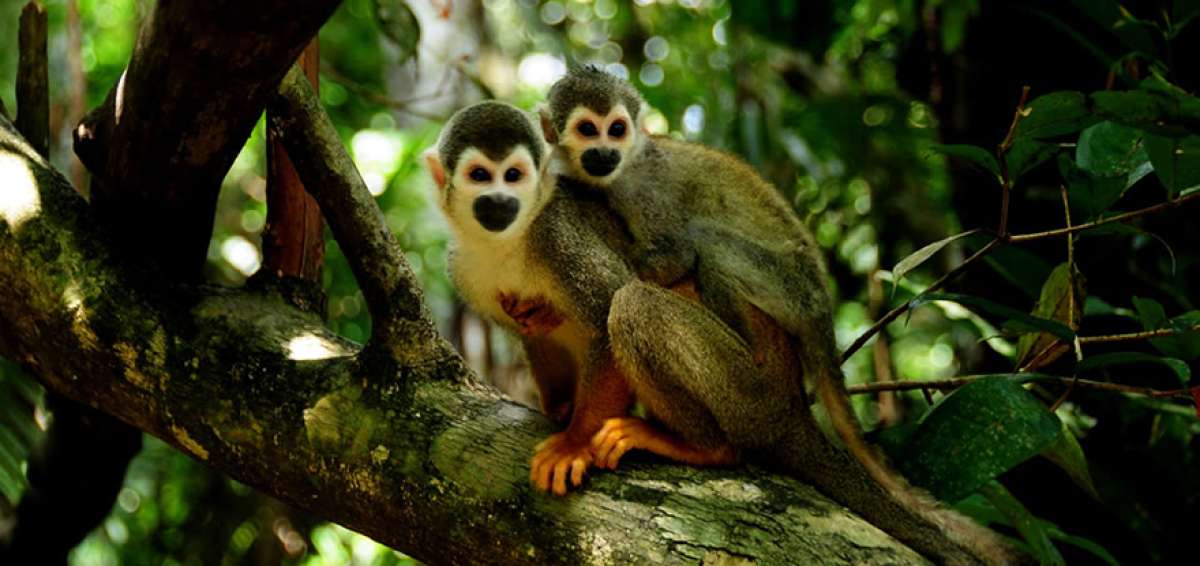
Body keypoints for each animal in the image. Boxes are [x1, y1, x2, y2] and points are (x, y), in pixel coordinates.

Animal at [539, 66, 1025, 565]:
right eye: (588, 129)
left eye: (615, 128)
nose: (604, 152)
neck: (625, 166)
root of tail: (823, 312)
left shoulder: (643, 192)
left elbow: (675, 255)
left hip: (787, 288)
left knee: (706, 245)